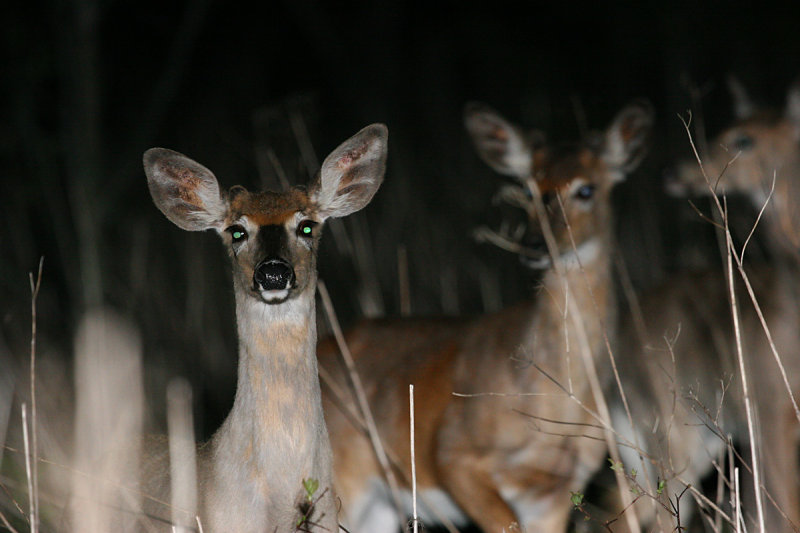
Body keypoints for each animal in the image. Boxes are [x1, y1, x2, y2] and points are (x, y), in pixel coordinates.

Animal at [318, 97, 656, 528]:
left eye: (586, 189)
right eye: (527, 188)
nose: (535, 245)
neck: (550, 399)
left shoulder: (557, 489)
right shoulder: (452, 453)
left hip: (379, 505)